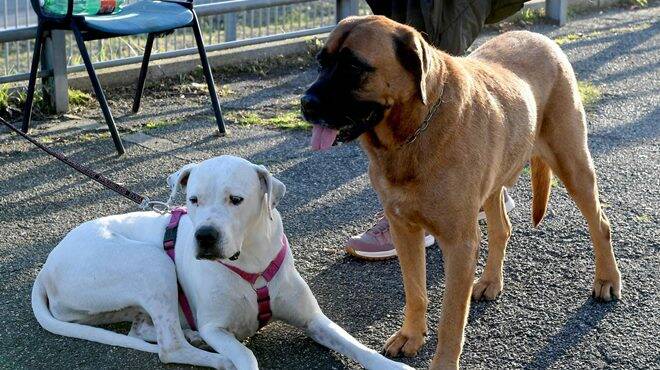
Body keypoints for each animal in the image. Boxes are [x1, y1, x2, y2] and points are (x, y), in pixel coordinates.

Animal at [34, 155, 412, 370]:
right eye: (193, 200)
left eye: (236, 200)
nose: (204, 236)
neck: (251, 260)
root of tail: (46, 268)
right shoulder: (216, 326)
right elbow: (246, 358)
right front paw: (234, 357)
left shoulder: (315, 320)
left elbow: (356, 346)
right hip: (151, 263)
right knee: (171, 347)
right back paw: (217, 358)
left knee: (144, 329)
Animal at [302, 15, 620, 368]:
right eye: (322, 63)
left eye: (354, 67)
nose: (306, 104)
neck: (413, 133)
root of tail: (543, 38)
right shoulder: (404, 230)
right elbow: (415, 292)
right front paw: (411, 335)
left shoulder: (459, 244)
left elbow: (452, 318)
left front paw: (442, 361)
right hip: (495, 181)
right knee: (502, 229)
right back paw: (491, 281)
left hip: (573, 165)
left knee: (601, 224)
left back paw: (607, 279)